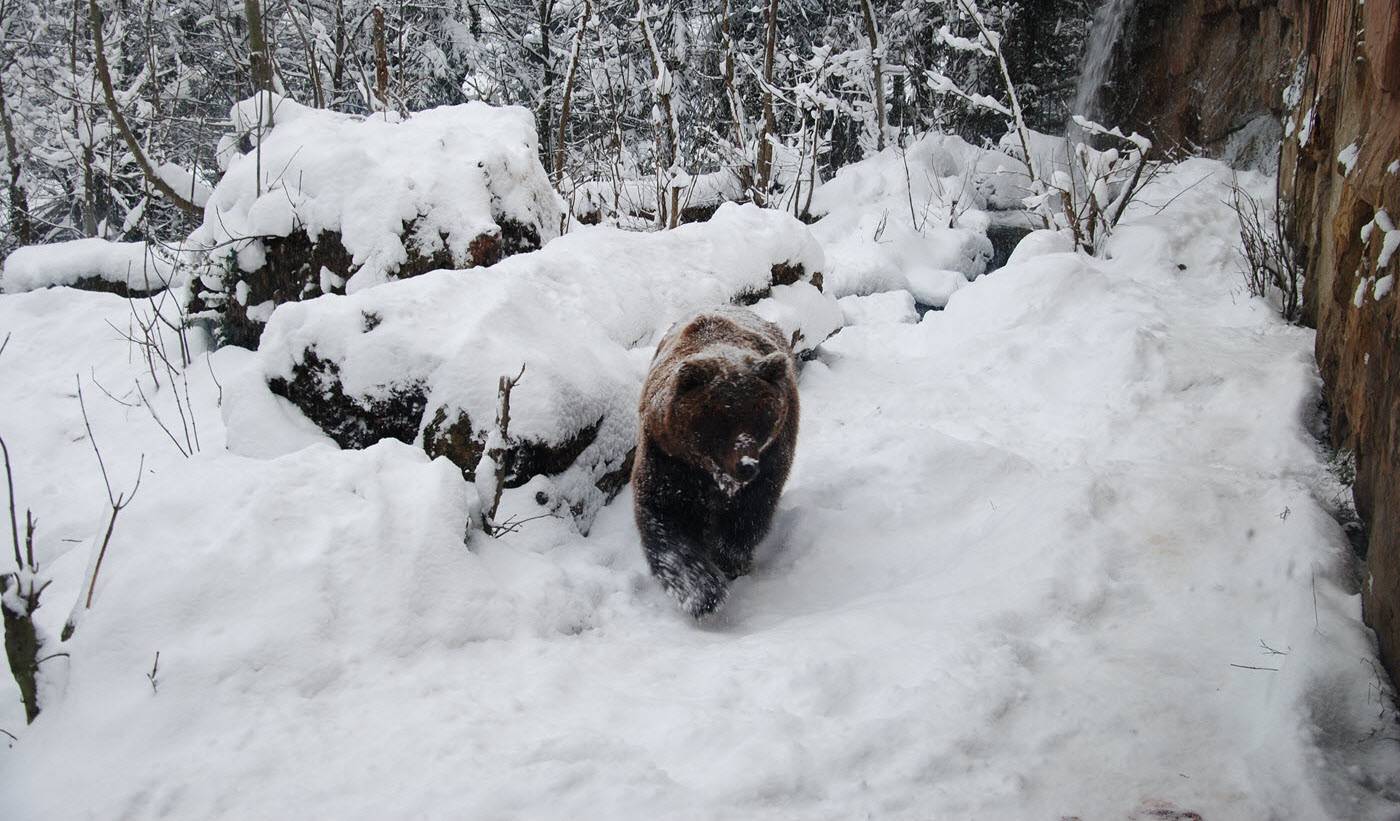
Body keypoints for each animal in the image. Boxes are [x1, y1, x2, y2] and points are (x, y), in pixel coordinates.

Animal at [632, 305, 800, 613]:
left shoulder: (773, 454)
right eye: (720, 420)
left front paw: (730, 560)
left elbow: (751, 512)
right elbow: (666, 519)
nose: (746, 466)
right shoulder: (668, 457)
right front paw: (701, 592)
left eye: (762, 417)